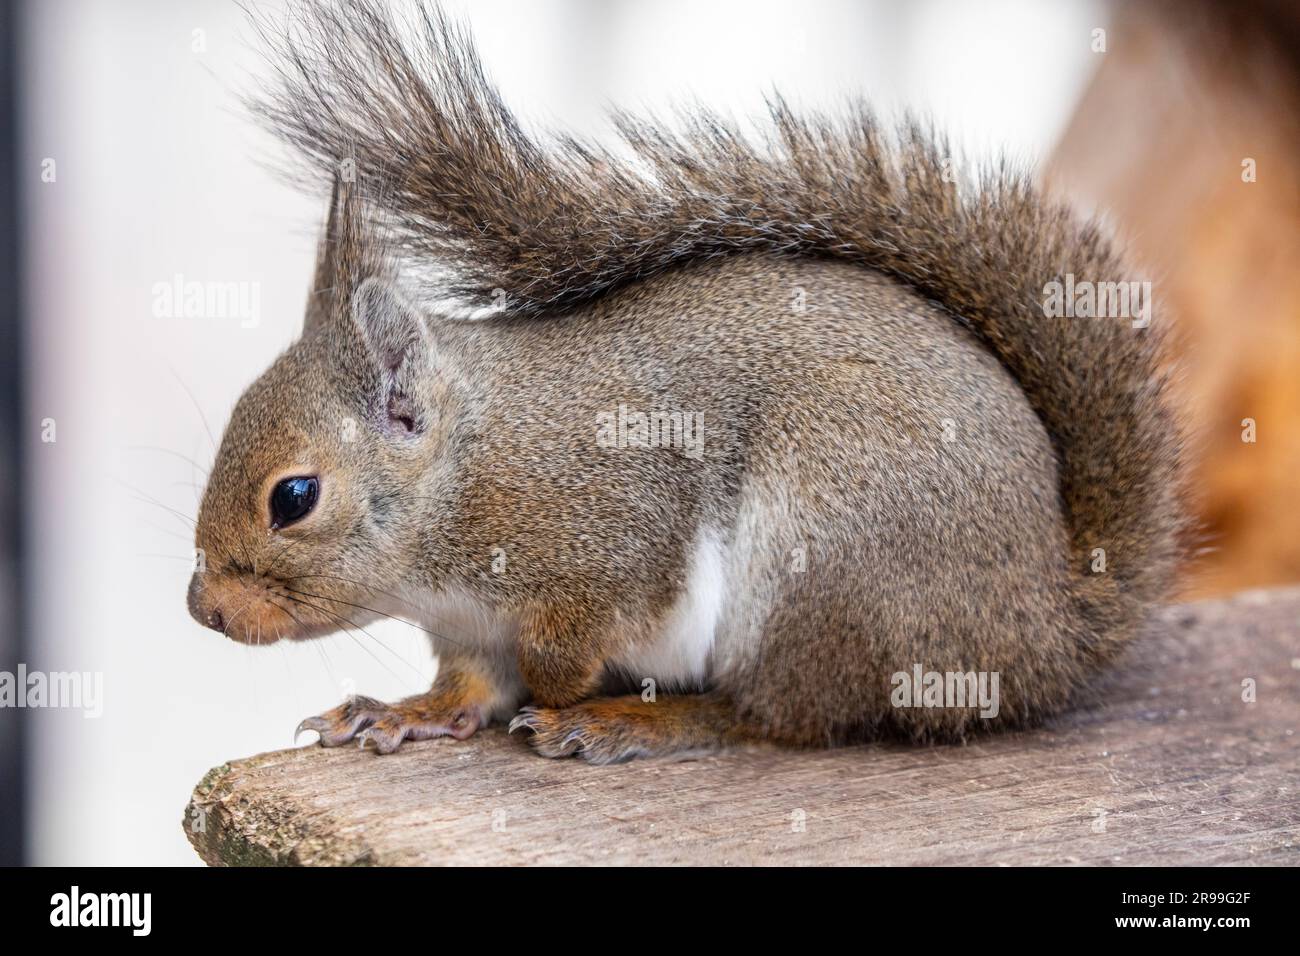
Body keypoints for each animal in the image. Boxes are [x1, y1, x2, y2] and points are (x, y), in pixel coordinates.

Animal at [185, 0, 1190, 764]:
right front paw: (406, 712)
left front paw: (564, 693)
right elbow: (468, 687)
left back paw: (641, 720)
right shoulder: (468, 629)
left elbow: (569, 641)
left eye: (294, 498)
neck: (464, 479)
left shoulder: (610, 536)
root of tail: (1046, 628)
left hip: (824, 549)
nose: (205, 611)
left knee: (777, 721)